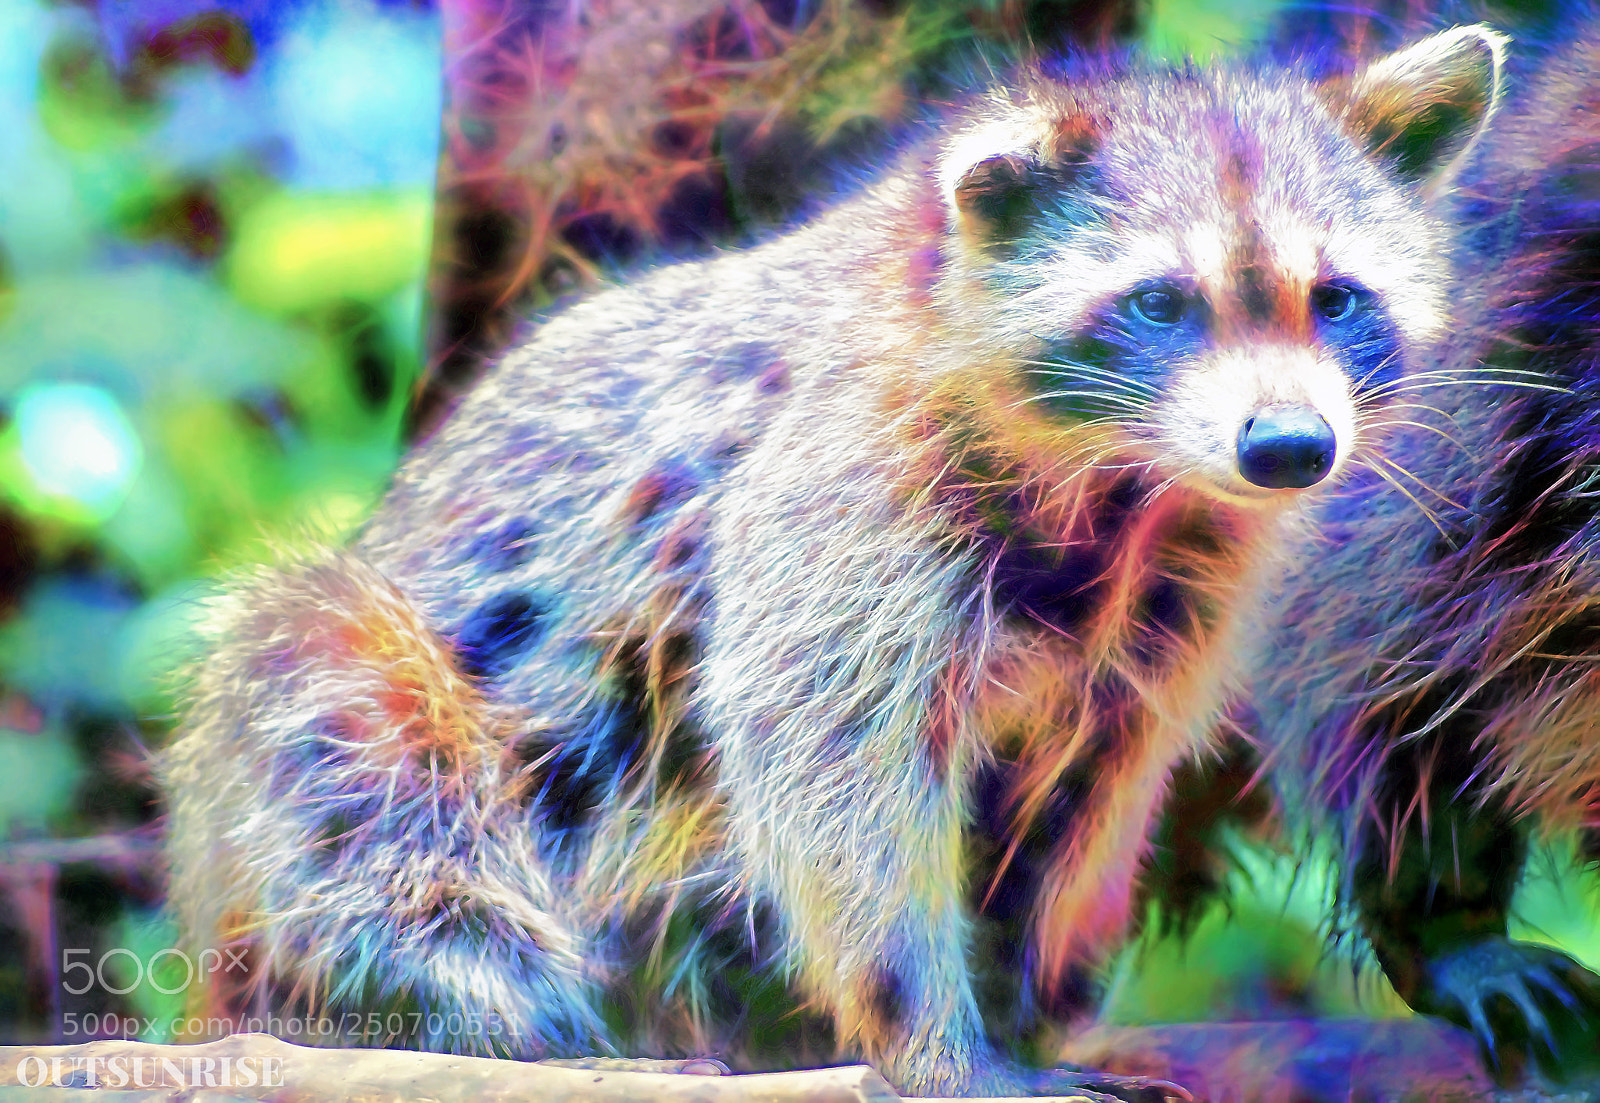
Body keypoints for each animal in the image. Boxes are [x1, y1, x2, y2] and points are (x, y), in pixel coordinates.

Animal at [161, 28, 1503, 1098]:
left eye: (1336, 298)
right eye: (1160, 303)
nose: (1288, 447)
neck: (1126, 485)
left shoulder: (1175, 597)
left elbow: (1084, 791)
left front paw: (1028, 1004)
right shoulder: (837, 495)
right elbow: (830, 773)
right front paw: (937, 1041)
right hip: (359, 732)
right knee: (362, 755)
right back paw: (485, 1002)